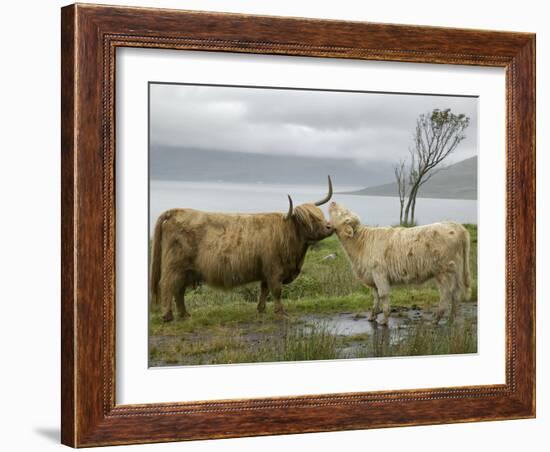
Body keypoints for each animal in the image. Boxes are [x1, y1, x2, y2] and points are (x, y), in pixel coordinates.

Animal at [330, 201, 472, 324]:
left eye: (343, 213)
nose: (333, 202)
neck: (360, 244)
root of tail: (455, 225)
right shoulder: (371, 277)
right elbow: (375, 297)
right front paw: (372, 317)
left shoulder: (379, 274)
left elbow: (383, 295)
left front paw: (384, 320)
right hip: (455, 271)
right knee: (456, 294)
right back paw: (451, 319)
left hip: (444, 271)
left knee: (446, 293)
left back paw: (435, 320)